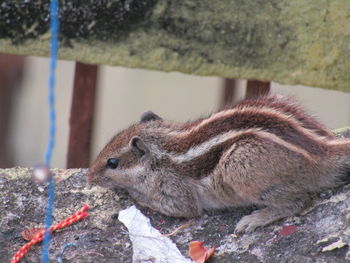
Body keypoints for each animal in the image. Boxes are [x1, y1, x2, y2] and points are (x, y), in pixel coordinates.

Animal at [87, 94, 350, 233]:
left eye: (112, 162)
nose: (89, 177)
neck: (164, 149)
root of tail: (324, 150)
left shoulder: (176, 192)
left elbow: (174, 207)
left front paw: (132, 193)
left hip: (237, 166)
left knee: (300, 200)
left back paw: (254, 219)